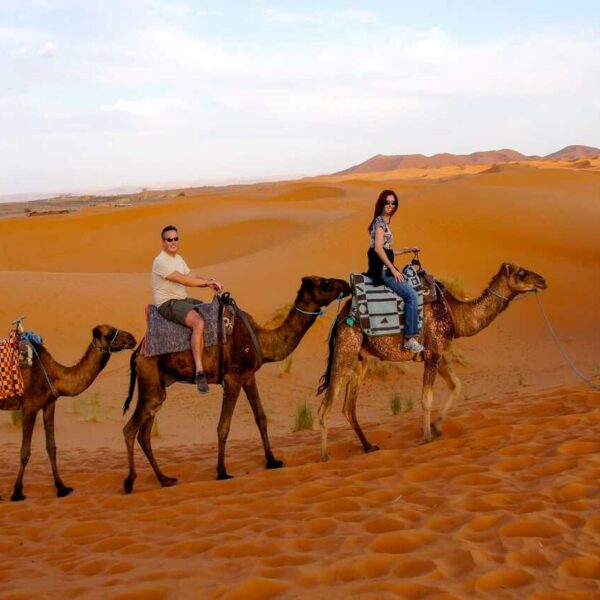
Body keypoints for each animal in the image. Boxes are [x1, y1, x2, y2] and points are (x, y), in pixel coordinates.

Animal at [2, 326, 136, 500]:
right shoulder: (30, 406)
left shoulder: (49, 404)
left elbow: (51, 447)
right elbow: (25, 452)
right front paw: (17, 492)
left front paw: (62, 488)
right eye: (110, 334)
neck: (54, 375)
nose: (132, 338)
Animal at [122, 276, 352, 492]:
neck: (260, 339)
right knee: (130, 430)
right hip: (151, 380)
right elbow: (223, 426)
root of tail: (137, 352)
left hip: (157, 387)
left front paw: (273, 461)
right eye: (325, 283)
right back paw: (130, 482)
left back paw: (165, 479)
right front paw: (222, 472)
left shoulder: (248, 376)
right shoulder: (232, 378)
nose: (346, 285)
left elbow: (261, 417)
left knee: (145, 434)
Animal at [318, 260, 548, 462]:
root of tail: (340, 318)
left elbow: (456, 385)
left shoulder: (439, 352)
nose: (542, 280)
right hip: (346, 347)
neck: (455, 313)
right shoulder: (432, 353)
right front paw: (427, 438)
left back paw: (369, 446)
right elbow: (426, 399)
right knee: (326, 407)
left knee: (348, 407)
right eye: (521, 273)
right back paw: (324, 457)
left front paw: (437, 428)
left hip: (360, 359)